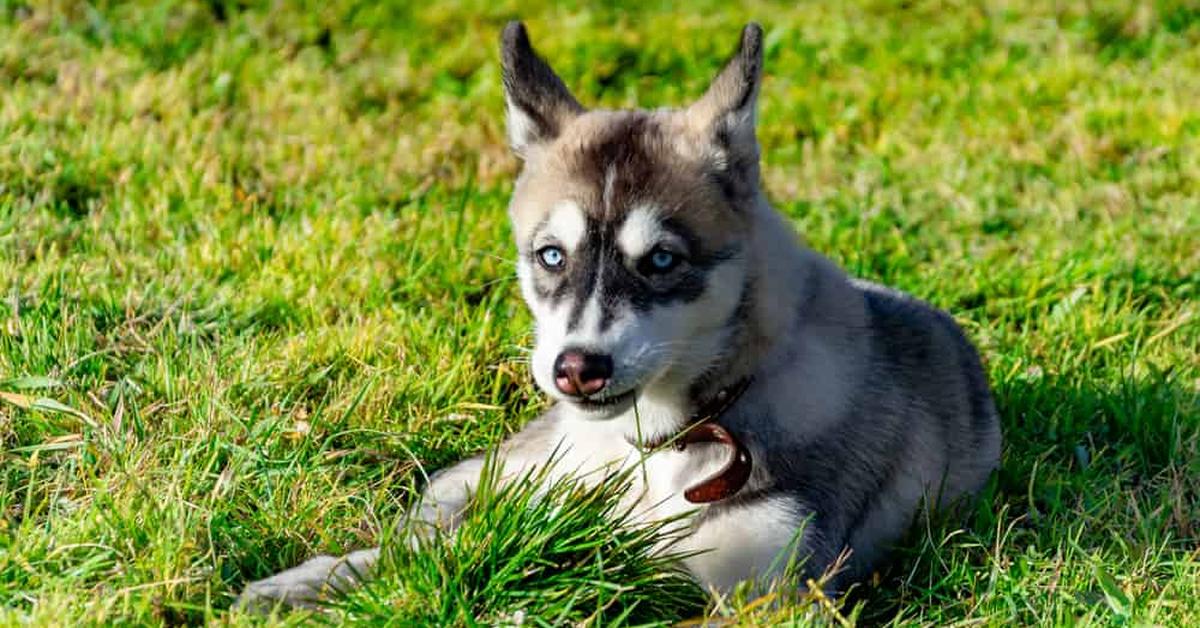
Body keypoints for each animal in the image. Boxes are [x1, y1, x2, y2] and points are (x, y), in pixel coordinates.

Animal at [236, 20, 1003, 614]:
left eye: (661, 260)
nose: (577, 370)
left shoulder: (769, 593)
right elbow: (447, 542)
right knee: (432, 513)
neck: (662, 443)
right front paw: (319, 579)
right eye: (551, 255)